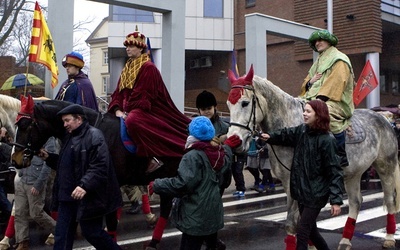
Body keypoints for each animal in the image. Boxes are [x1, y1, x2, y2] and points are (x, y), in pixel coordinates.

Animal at [10, 98, 183, 249]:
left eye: (25, 125)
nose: (15, 159)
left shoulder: (111, 184)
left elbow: (111, 220)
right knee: (166, 207)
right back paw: (153, 242)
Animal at [227, 66, 400, 250]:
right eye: (229, 104)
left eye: (245, 103)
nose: (234, 141)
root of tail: (384, 119)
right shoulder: (291, 183)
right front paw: (312, 244)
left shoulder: (293, 182)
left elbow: (292, 222)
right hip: (354, 173)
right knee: (356, 202)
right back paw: (345, 240)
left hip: (386, 166)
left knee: (389, 199)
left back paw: (389, 237)